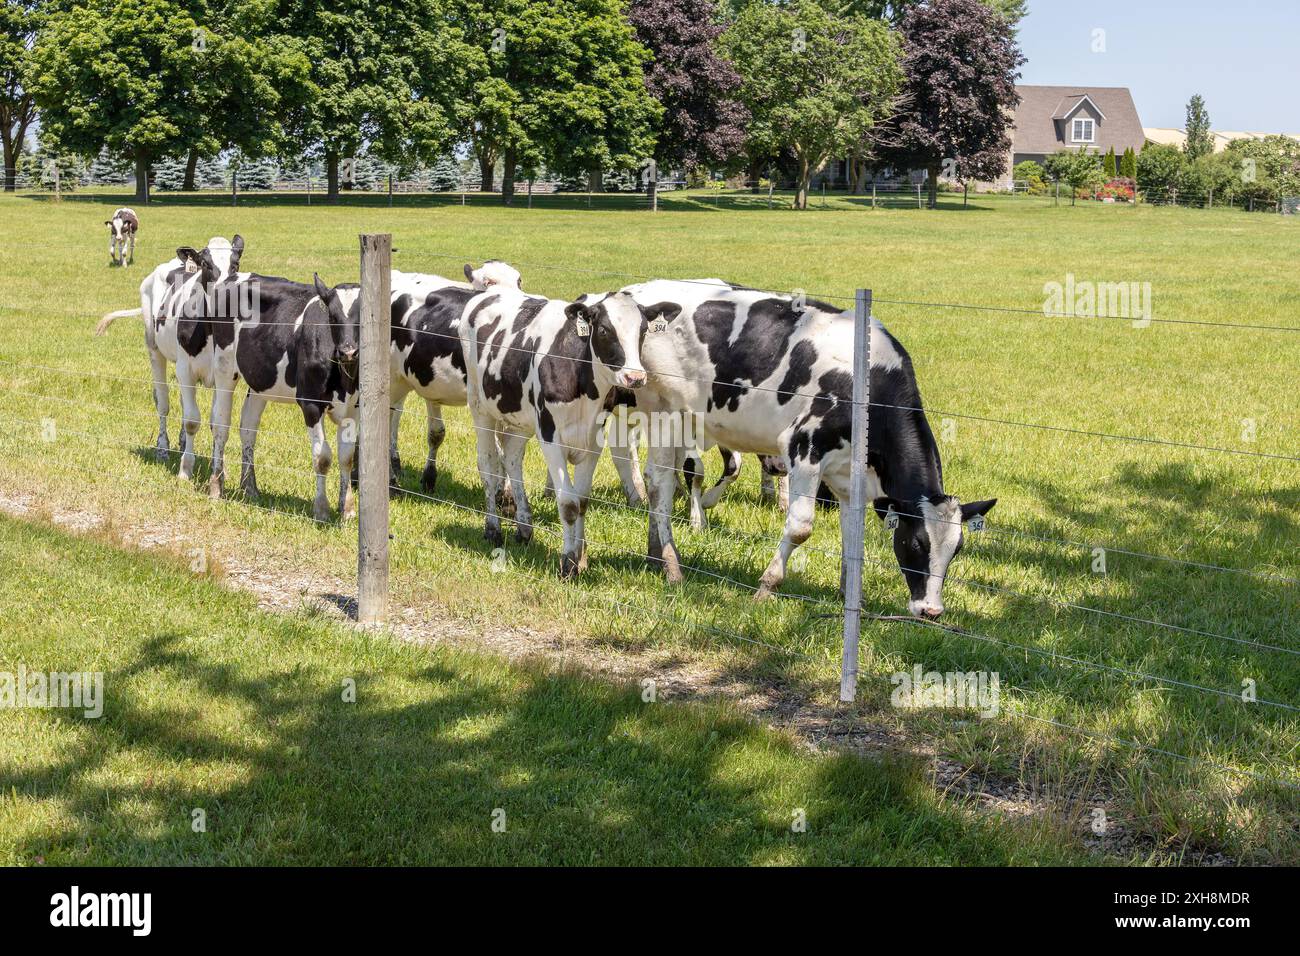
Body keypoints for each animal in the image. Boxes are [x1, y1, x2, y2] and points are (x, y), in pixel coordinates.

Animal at [460, 280, 681, 572]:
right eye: (604, 330)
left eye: (643, 330)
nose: (635, 377)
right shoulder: (550, 437)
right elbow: (568, 503)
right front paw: (567, 563)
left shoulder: (593, 440)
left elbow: (583, 501)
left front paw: (580, 558)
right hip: (480, 407)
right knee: (487, 465)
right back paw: (493, 529)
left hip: (521, 419)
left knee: (512, 457)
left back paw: (524, 528)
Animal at [618, 278, 993, 621]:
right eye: (917, 543)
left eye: (957, 549)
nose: (930, 610)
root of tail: (640, 290)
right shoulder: (805, 447)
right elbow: (801, 527)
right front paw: (766, 587)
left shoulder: (849, 476)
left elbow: (853, 532)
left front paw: (850, 596)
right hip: (664, 411)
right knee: (661, 482)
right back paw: (671, 565)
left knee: (661, 477)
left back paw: (654, 552)